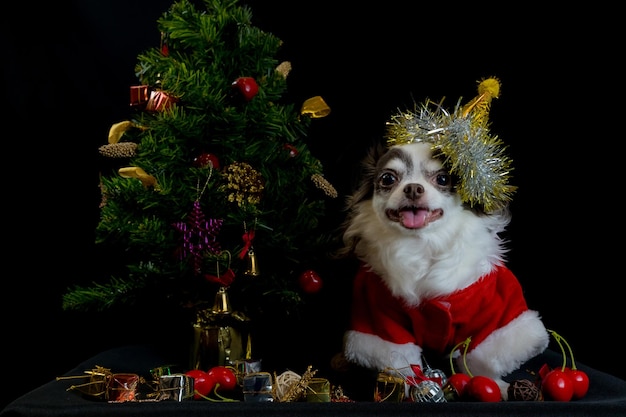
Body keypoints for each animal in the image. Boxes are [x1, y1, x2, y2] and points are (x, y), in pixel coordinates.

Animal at [338, 141, 548, 400]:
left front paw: (493, 384)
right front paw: (406, 389)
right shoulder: (378, 314)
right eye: (388, 178)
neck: (422, 245)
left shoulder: (492, 307)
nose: (413, 189)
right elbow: (399, 360)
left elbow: (484, 357)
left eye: (443, 178)